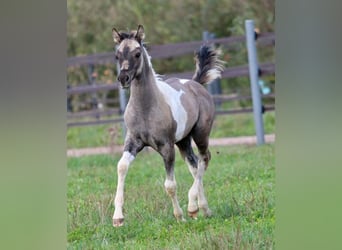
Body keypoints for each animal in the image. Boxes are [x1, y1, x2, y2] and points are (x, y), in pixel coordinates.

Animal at [111, 24, 224, 227]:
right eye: (118, 55)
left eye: (137, 53)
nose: (123, 78)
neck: (146, 108)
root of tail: (195, 83)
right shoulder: (133, 142)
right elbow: (121, 167)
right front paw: (118, 218)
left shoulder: (167, 147)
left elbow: (170, 185)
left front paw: (179, 216)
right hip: (184, 141)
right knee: (194, 165)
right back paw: (203, 209)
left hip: (201, 134)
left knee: (205, 158)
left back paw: (193, 207)